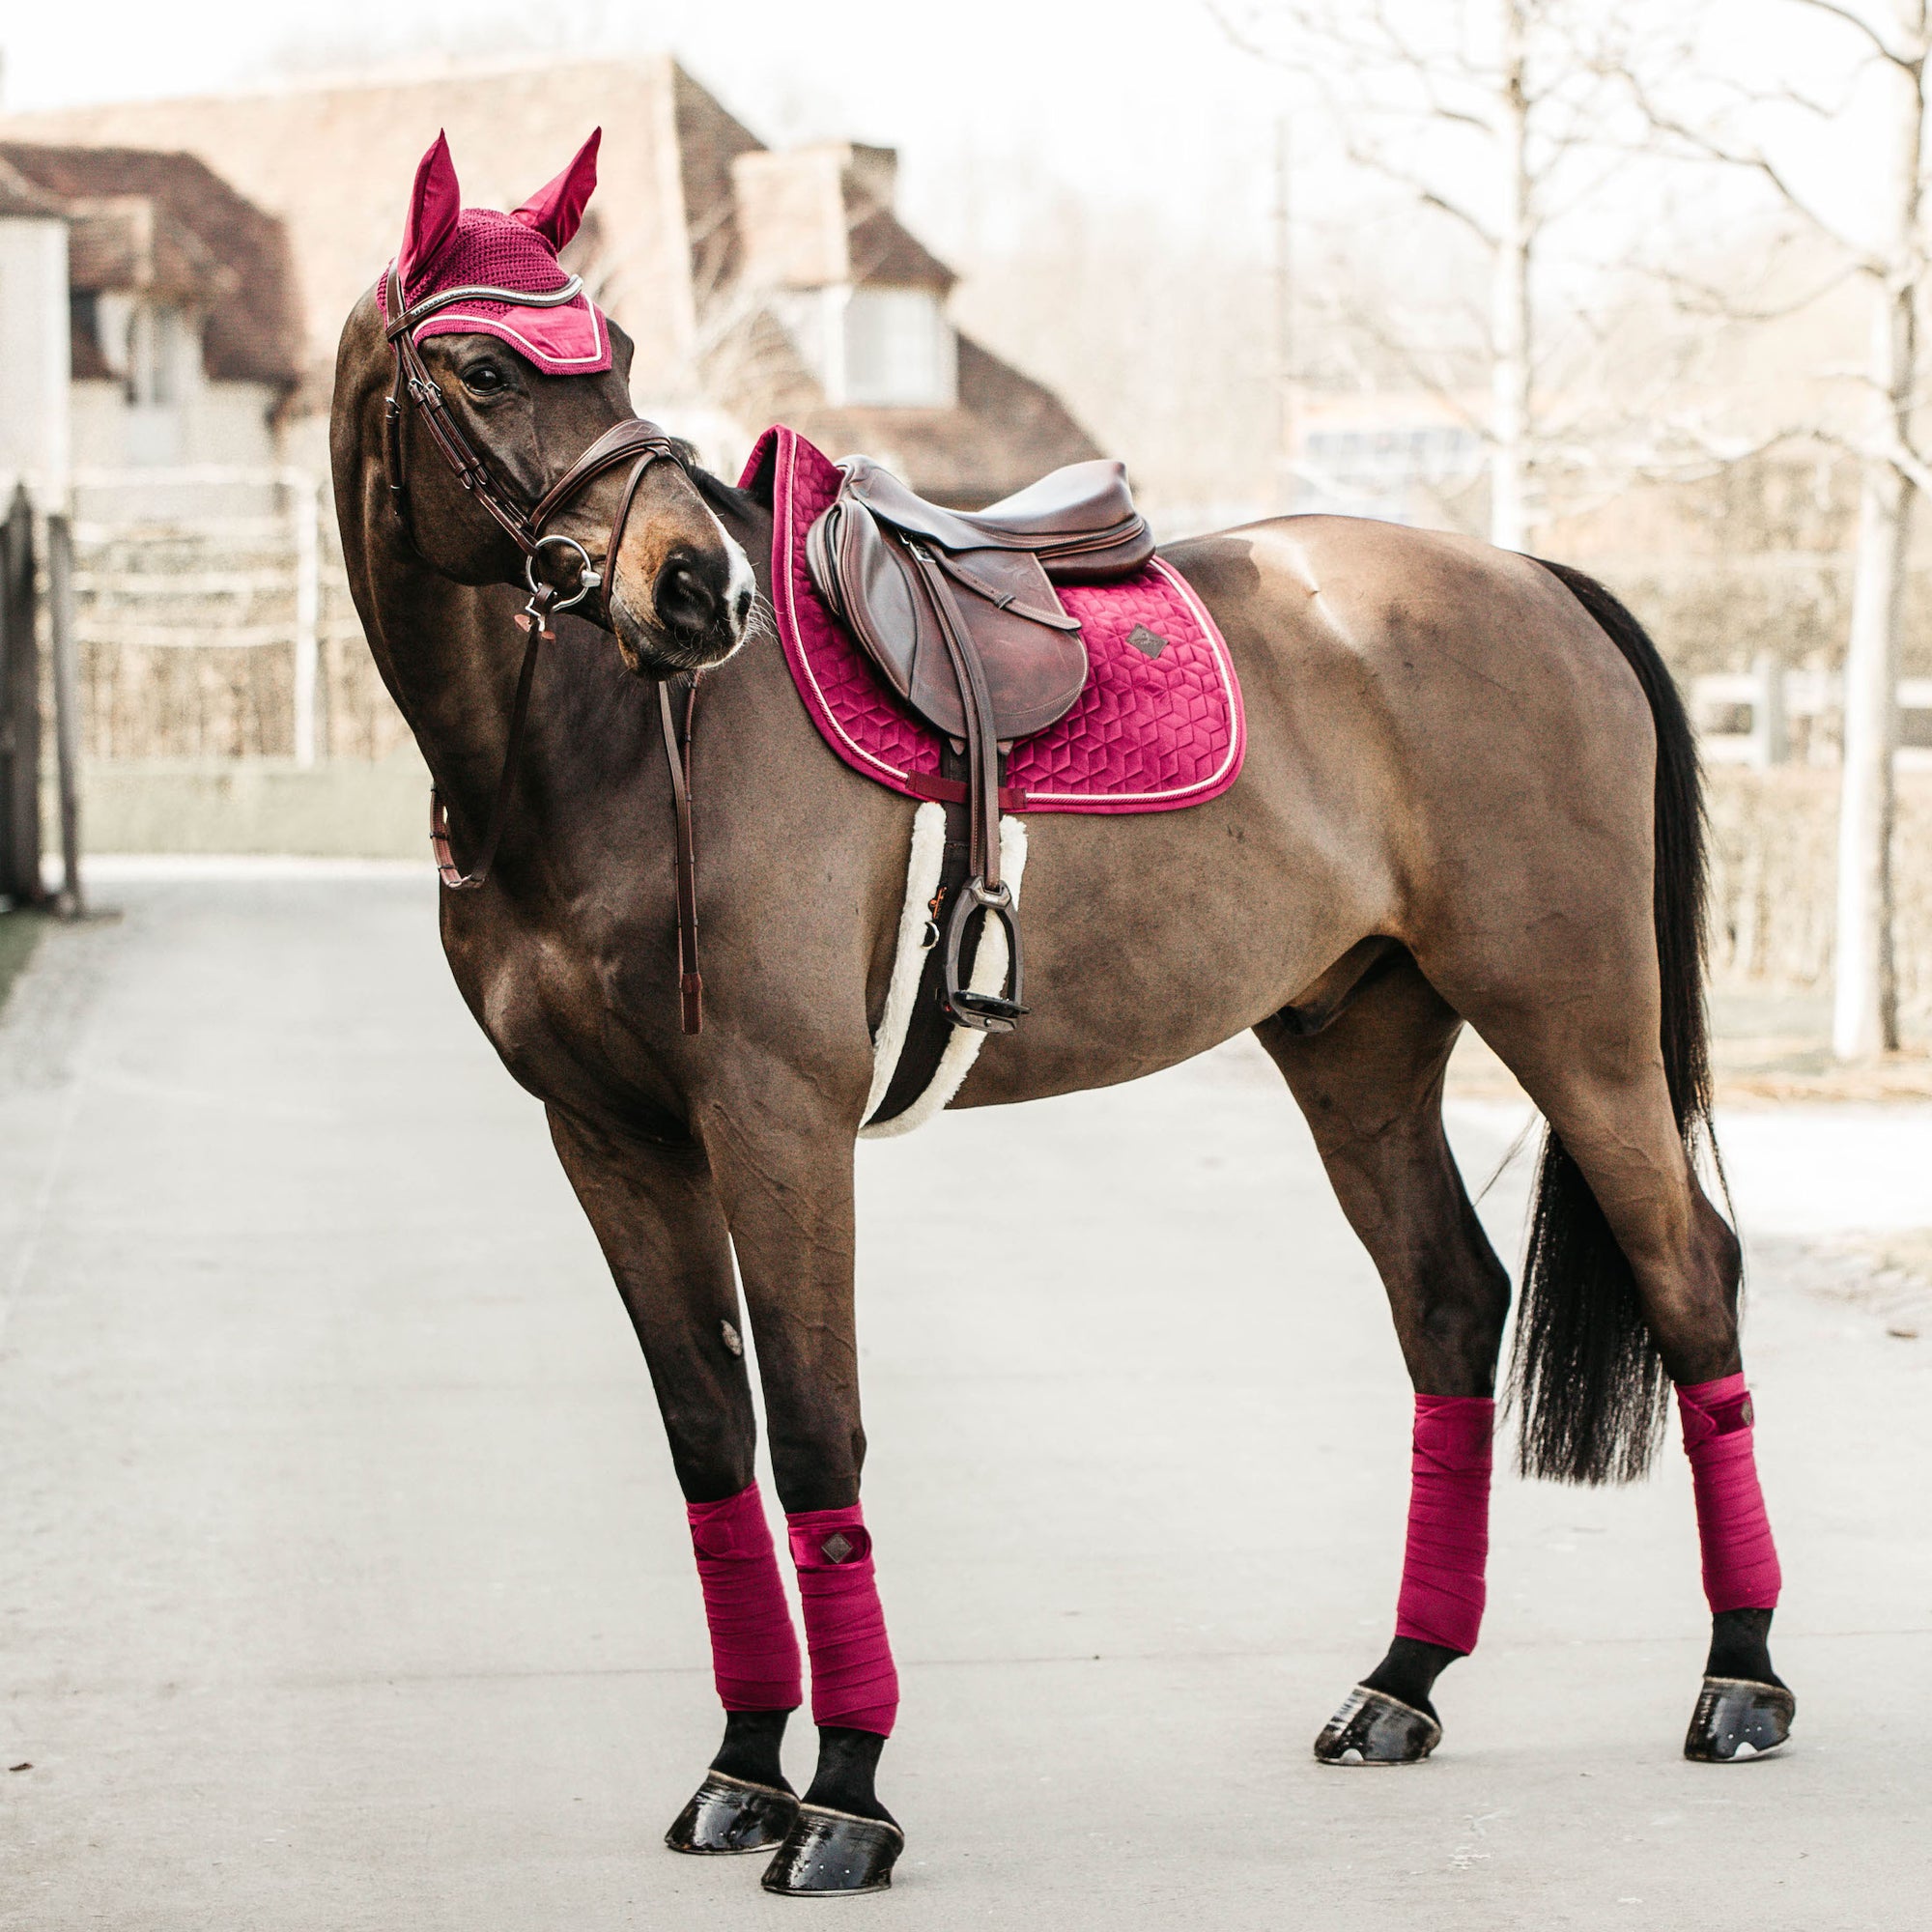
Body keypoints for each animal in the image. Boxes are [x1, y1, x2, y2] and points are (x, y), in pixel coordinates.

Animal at [336, 136, 1793, 1901]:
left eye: (604, 353)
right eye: (484, 368)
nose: (698, 588)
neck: (601, 747)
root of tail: (1535, 579)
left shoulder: (776, 1122)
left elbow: (817, 1438)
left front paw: (847, 1797)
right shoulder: (610, 1143)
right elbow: (710, 1446)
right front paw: (744, 1769)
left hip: (1578, 1030)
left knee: (1691, 1279)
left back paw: (1742, 1674)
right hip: (1360, 1049)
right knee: (1449, 1304)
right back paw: (1401, 1682)